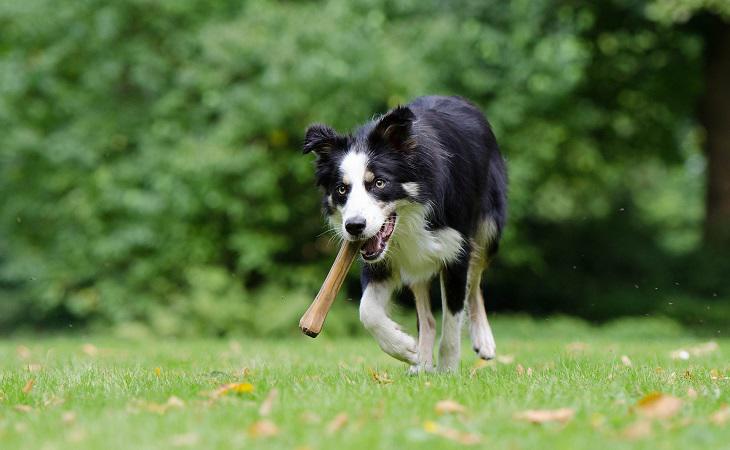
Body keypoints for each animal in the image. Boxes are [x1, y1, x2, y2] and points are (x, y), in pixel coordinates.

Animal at [302, 96, 506, 372]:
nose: (354, 226)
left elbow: (452, 321)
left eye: (379, 183)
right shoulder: (380, 260)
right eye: (342, 189)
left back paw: (483, 339)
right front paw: (404, 348)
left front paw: (449, 371)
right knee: (428, 317)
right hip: (416, 263)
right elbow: (367, 311)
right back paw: (422, 363)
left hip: (488, 228)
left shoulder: (457, 250)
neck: (412, 218)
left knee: (474, 283)